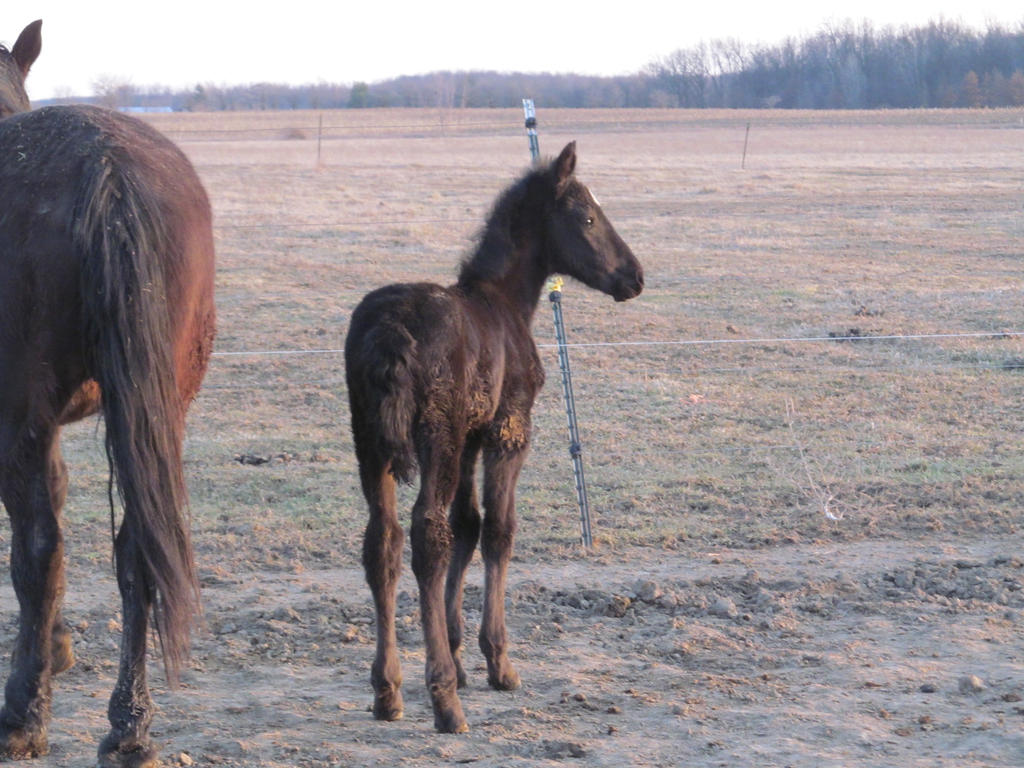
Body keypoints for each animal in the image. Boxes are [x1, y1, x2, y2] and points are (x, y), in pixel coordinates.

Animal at [0, 20, 214, 765]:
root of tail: (109, 168)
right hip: (158, 408)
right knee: (136, 552)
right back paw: (129, 727)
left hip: (21, 411)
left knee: (39, 546)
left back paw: (23, 715)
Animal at [348, 140, 643, 733]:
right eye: (587, 217)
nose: (635, 276)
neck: (504, 303)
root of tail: (389, 331)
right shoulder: (509, 430)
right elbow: (498, 531)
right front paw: (495, 661)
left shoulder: (470, 436)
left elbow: (469, 524)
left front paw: (460, 654)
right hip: (433, 437)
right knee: (427, 536)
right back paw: (443, 699)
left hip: (371, 442)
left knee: (383, 541)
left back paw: (388, 690)